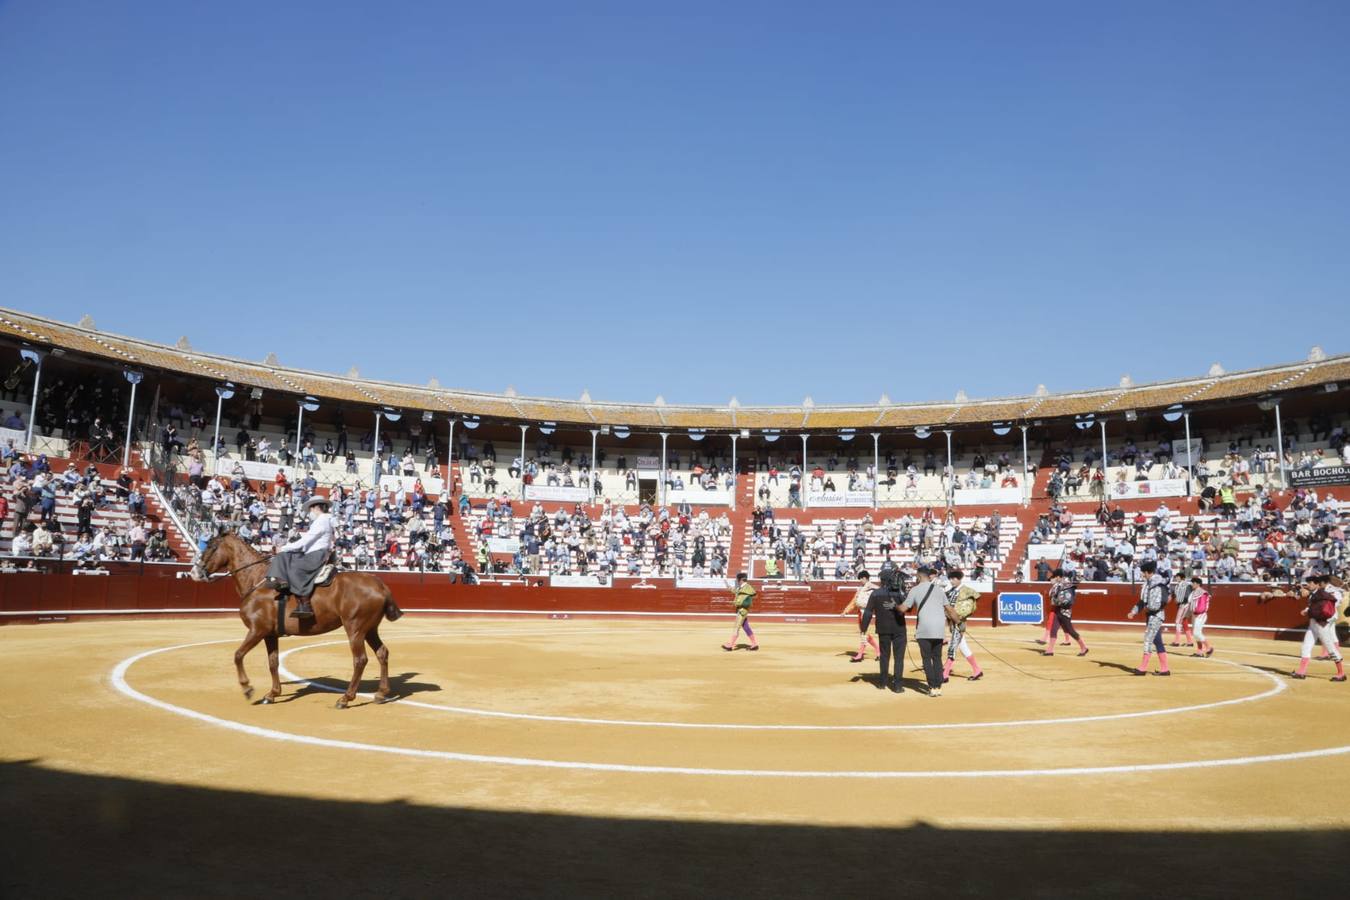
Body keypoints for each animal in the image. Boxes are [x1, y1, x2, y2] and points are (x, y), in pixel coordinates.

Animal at [191, 531, 399, 707]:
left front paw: (247, 688)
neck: (258, 581)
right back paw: (381, 693)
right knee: (382, 653)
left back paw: (346, 698)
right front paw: (272, 694)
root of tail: (380, 585)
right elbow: (273, 662)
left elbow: (238, 655)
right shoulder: (269, 635)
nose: (194, 572)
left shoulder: (257, 630)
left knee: (360, 660)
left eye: (211, 546)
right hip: (369, 629)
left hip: (355, 629)